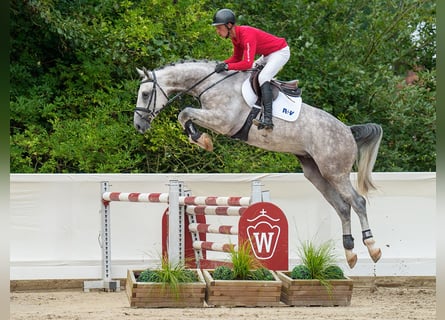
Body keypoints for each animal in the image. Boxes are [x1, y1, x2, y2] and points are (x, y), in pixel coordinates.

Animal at [132, 59, 382, 268]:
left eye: (145, 94)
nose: (138, 126)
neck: (212, 84)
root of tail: (348, 130)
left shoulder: (223, 120)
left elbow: (184, 113)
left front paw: (202, 140)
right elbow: (184, 116)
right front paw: (200, 139)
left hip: (335, 172)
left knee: (357, 202)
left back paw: (373, 248)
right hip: (316, 173)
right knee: (342, 207)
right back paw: (350, 253)